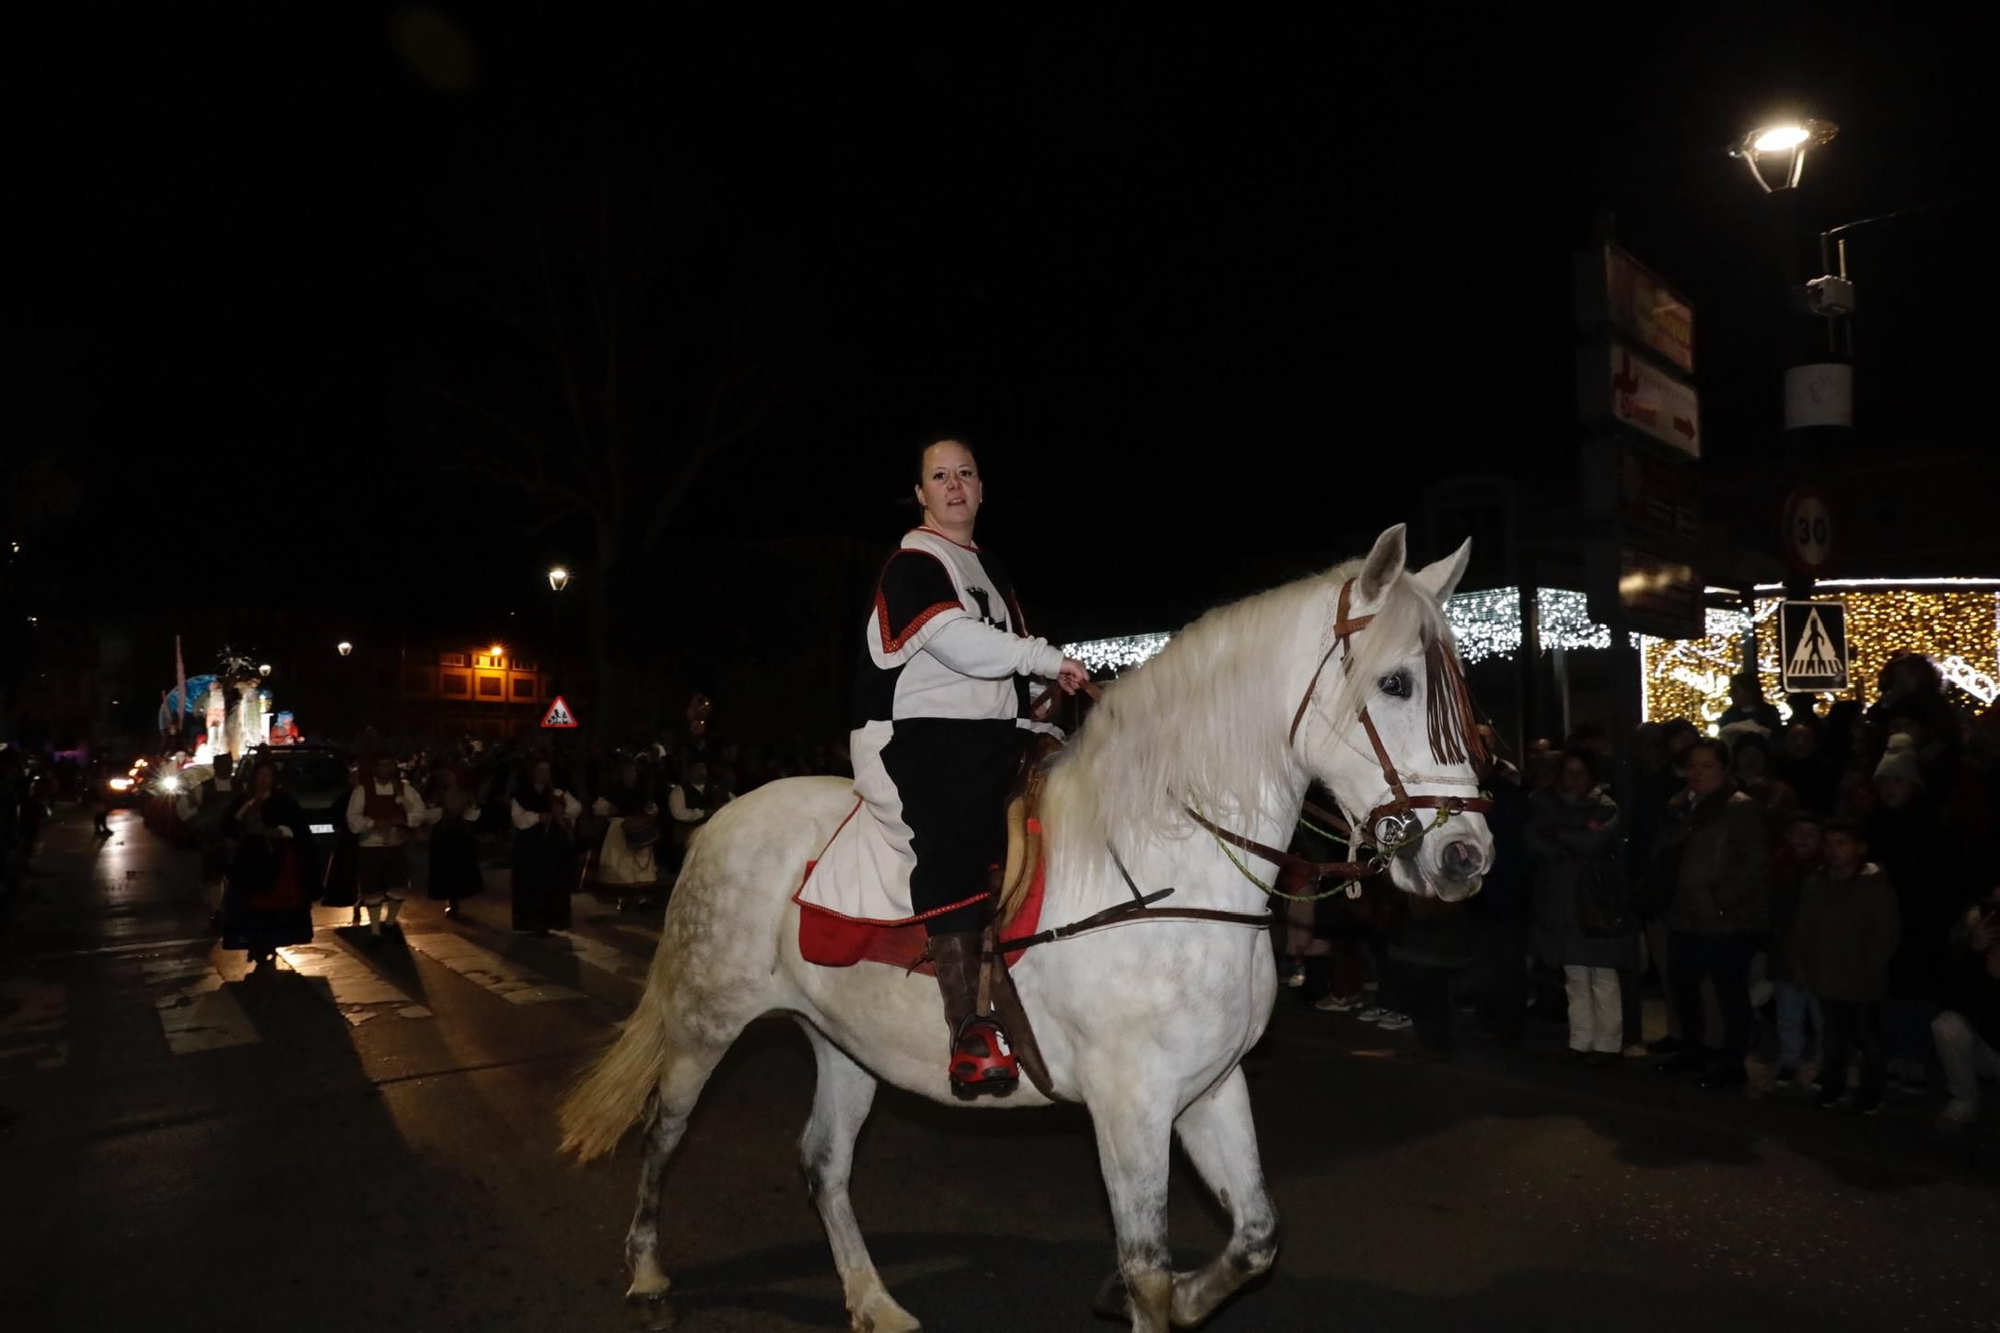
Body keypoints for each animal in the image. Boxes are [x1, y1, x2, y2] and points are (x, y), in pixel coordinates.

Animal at [556, 520, 1496, 1328]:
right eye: (1396, 683)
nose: (1465, 855)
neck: (1165, 867)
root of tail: (720, 816)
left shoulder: (1210, 1086)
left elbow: (1256, 1236)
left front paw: (1155, 1292)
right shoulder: (1130, 1105)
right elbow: (1150, 1268)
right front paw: (1138, 1292)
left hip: (845, 1042)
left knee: (822, 1161)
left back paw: (873, 1299)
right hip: (705, 1021)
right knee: (665, 1128)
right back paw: (648, 1269)